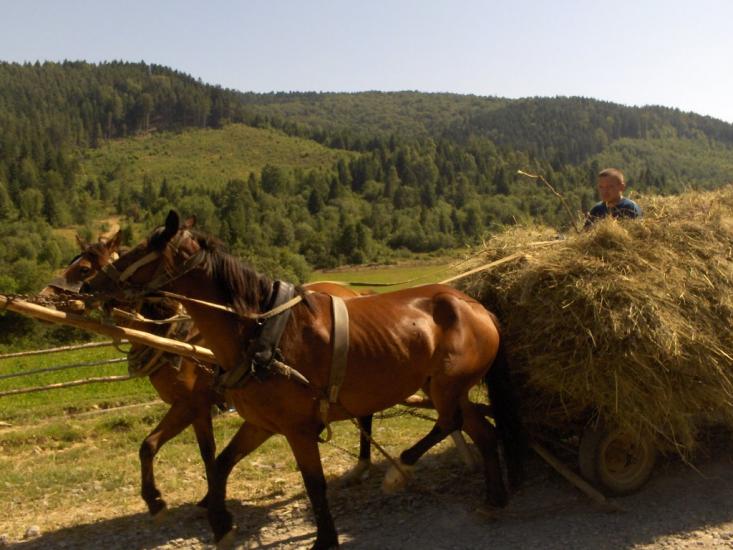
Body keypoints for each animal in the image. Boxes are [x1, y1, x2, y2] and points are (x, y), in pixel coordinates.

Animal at [84, 212, 520, 550]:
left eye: (140, 251)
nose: (90, 287)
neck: (260, 333)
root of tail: (477, 305)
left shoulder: (296, 428)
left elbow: (313, 484)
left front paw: (325, 538)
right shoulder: (260, 423)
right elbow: (220, 464)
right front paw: (220, 524)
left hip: (446, 386)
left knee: (450, 422)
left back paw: (400, 470)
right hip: (446, 387)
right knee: (480, 431)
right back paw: (494, 498)